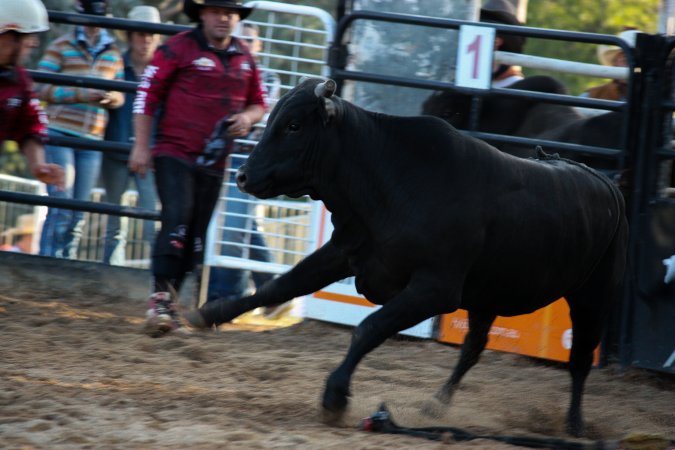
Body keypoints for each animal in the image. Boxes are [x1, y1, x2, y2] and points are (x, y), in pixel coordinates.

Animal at [185, 78, 628, 437]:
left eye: (293, 125)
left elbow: (368, 328)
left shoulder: (434, 289)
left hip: (592, 295)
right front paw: (211, 313)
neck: (390, 178)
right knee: (474, 346)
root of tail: (606, 182)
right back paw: (436, 406)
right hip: (489, 295)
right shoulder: (345, 252)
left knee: (579, 359)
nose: (243, 176)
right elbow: (280, 286)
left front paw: (335, 397)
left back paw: (574, 424)